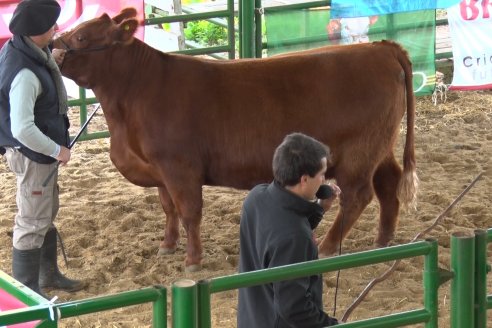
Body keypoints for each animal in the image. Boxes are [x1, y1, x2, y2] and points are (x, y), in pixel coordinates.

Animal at [54, 7, 418, 272]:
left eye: (82, 36)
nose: (54, 46)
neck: (136, 91)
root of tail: (380, 48)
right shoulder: (158, 170)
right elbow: (168, 209)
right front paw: (167, 246)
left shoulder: (179, 167)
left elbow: (189, 211)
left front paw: (193, 260)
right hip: (379, 146)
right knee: (389, 182)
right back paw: (383, 240)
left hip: (359, 153)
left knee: (358, 195)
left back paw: (328, 247)